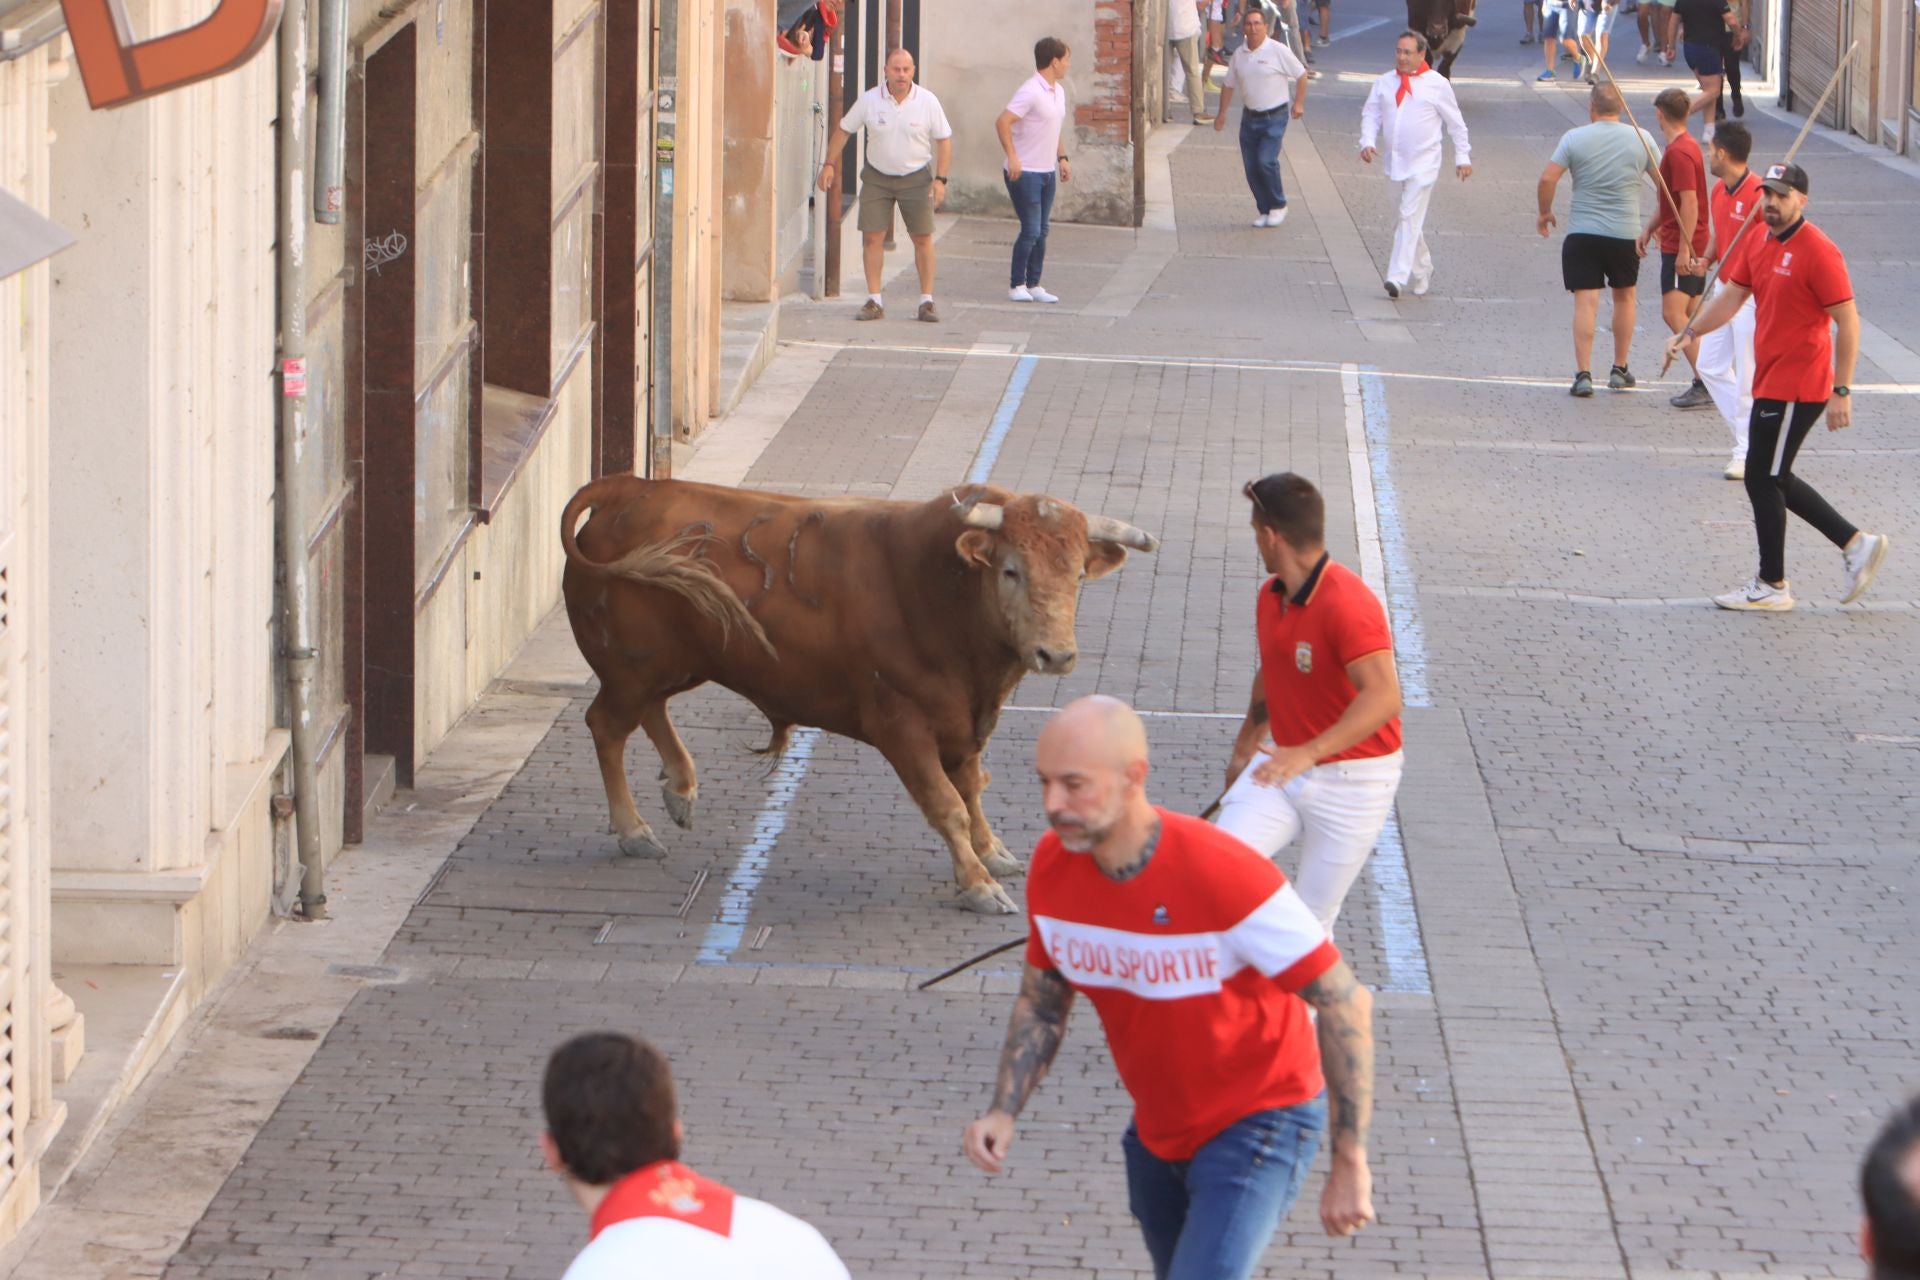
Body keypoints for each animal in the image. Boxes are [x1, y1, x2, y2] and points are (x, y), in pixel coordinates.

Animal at [556, 477, 1152, 909]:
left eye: (1078, 575)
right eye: (1010, 570)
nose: (1057, 654)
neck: (941, 589)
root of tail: (628, 488)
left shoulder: (965, 721)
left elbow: (970, 789)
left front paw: (993, 852)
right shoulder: (903, 726)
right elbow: (947, 804)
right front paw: (978, 884)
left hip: (677, 662)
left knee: (649, 709)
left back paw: (681, 789)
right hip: (632, 667)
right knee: (607, 725)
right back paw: (634, 828)